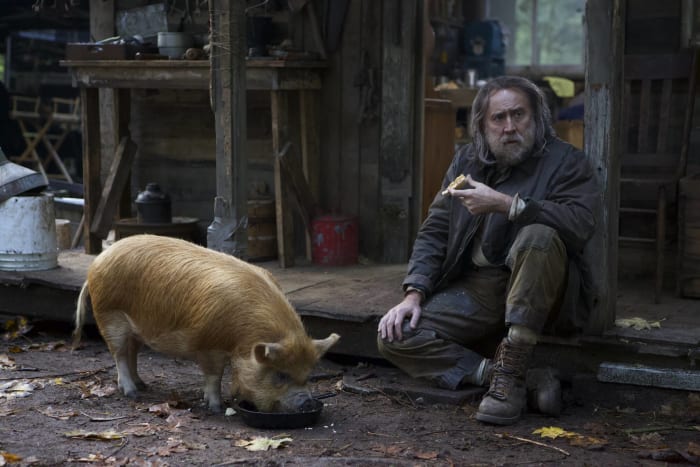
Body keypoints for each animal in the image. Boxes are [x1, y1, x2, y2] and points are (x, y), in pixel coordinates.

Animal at [72, 234, 340, 413]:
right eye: (281, 375)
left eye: (308, 375)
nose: (307, 402)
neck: (242, 337)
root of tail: (96, 263)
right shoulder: (208, 345)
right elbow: (214, 375)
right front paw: (216, 407)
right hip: (109, 316)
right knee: (118, 354)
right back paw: (132, 393)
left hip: (135, 329)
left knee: (132, 353)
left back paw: (143, 385)